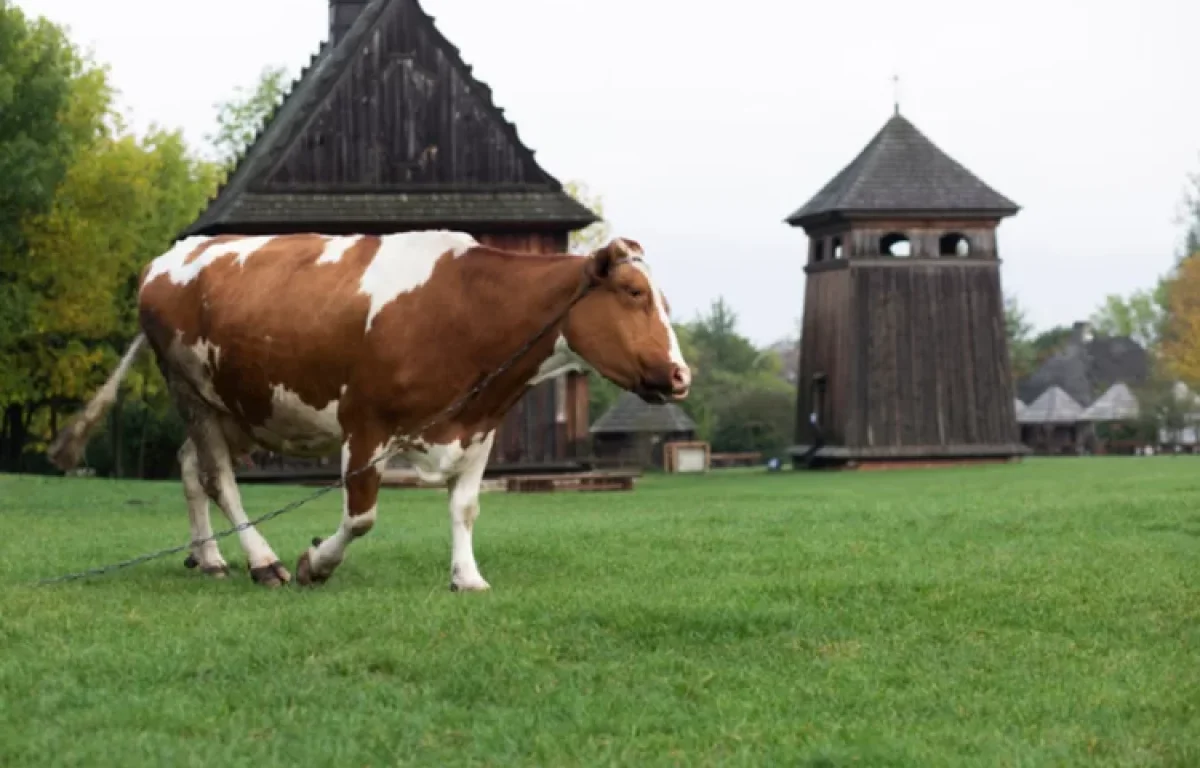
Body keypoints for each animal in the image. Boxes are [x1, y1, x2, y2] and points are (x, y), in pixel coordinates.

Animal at [46, 230, 696, 590]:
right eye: (633, 294)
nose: (680, 376)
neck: (465, 307)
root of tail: (168, 258)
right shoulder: (364, 423)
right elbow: (361, 516)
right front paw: (315, 564)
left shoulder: (480, 425)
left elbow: (464, 507)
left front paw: (467, 576)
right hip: (192, 390)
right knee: (219, 479)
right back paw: (262, 561)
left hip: (240, 406)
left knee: (188, 468)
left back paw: (208, 558)